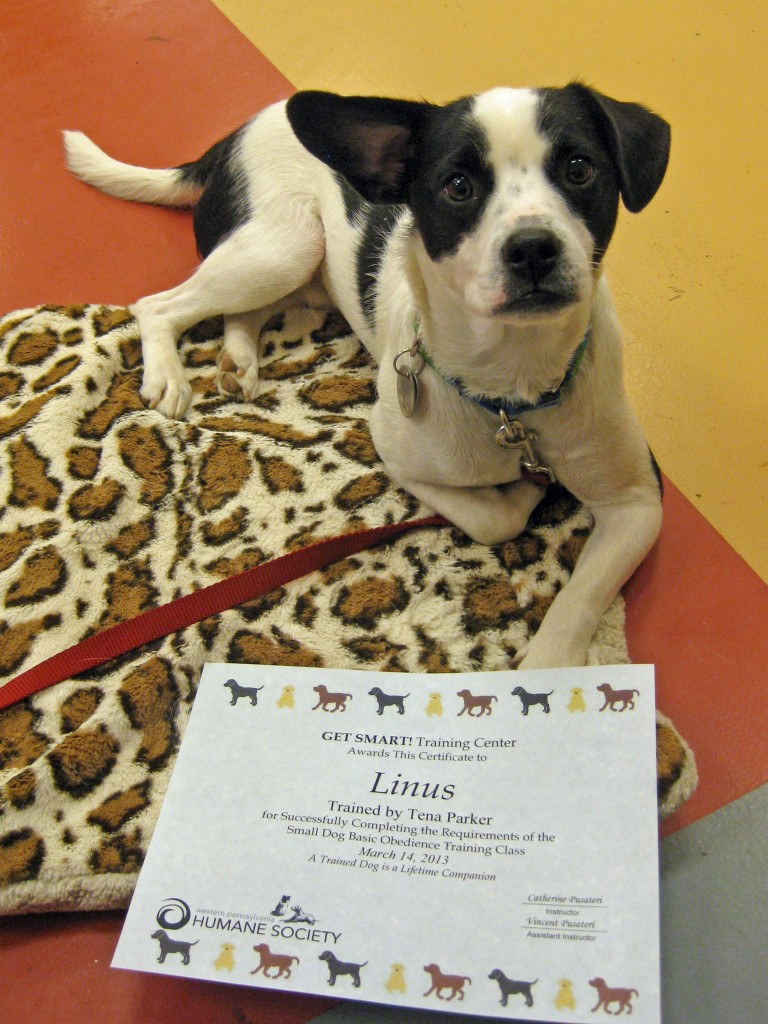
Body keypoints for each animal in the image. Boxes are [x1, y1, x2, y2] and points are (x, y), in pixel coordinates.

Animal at [64, 83, 667, 667]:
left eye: (580, 169)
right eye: (457, 186)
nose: (534, 247)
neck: (513, 395)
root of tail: (237, 133)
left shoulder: (638, 503)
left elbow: (579, 598)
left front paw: (550, 668)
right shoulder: (396, 451)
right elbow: (497, 520)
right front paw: (521, 494)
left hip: (298, 268)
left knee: (244, 312)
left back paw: (237, 359)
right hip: (285, 247)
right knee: (158, 306)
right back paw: (169, 371)